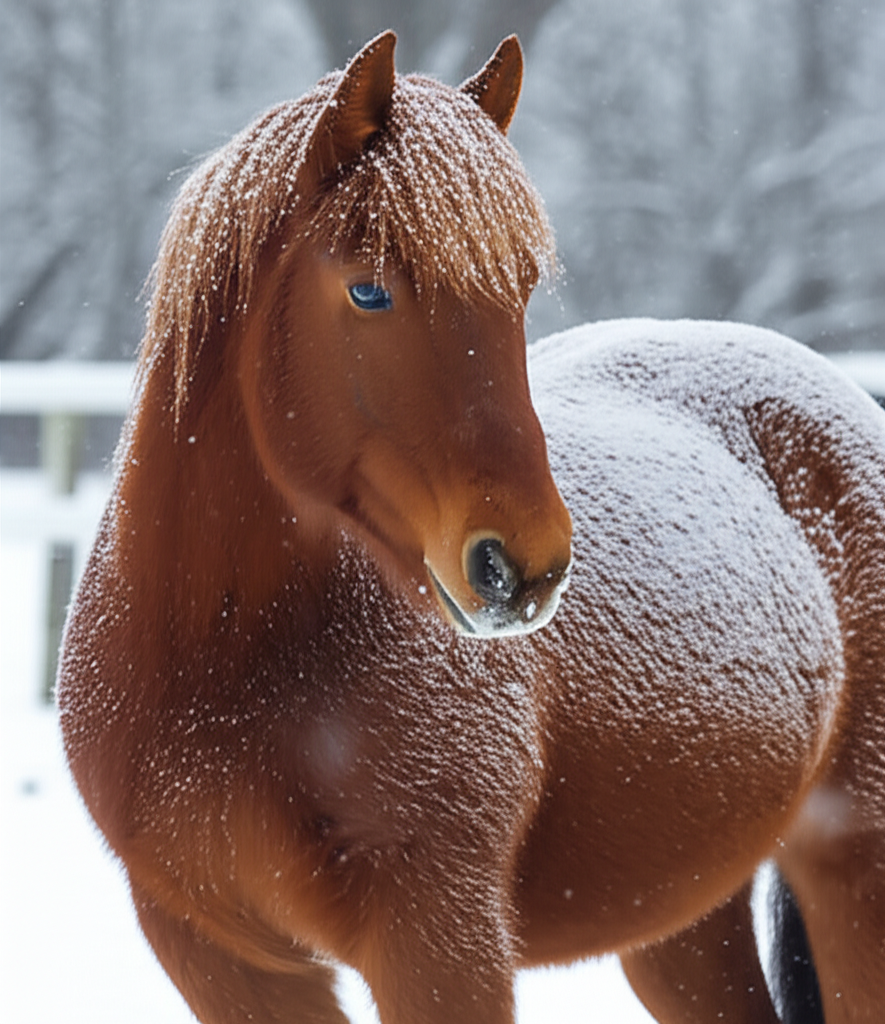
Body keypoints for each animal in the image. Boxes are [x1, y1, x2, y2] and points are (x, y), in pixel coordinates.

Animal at [57, 31, 885, 1024]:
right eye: (368, 291)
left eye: (519, 291)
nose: (522, 566)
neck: (220, 656)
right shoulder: (220, 957)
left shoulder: (440, 945)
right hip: (680, 926)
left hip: (851, 874)